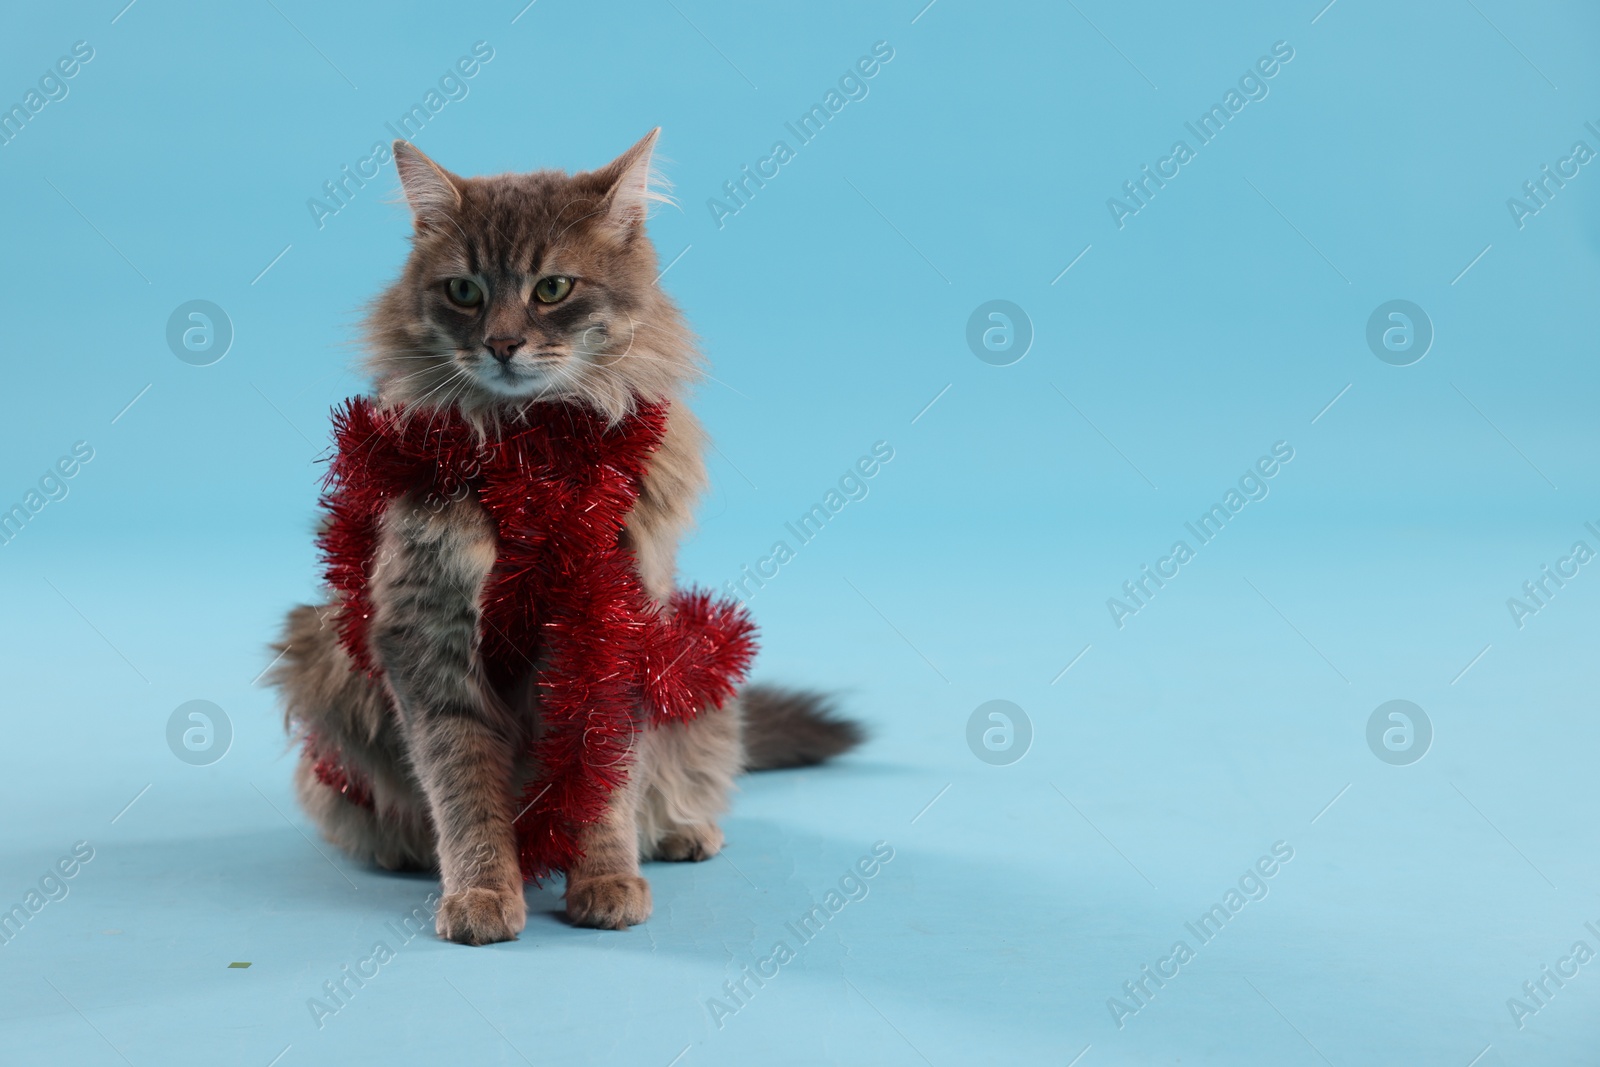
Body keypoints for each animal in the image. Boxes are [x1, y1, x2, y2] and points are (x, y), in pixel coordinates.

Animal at [272, 131, 864, 940]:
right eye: (464, 292)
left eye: (552, 288)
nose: (502, 344)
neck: (533, 461)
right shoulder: (425, 627)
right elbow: (463, 783)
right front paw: (482, 890)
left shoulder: (610, 619)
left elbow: (600, 776)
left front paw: (606, 877)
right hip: (320, 656)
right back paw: (405, 851)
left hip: (697, 669)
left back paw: (680, 831)